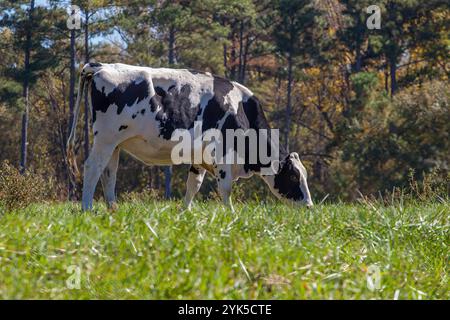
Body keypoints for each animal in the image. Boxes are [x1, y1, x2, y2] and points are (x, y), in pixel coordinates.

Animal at [67, 63, 312, 211]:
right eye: (293, 176)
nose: (309, 206)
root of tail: (101, 66)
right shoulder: (222, 155)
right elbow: (225, 189)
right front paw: (231, 214)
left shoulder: (199, 158)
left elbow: (193, 185)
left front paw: (185, 212)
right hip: (105, 139)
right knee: (93, 168)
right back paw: (87, 208)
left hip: (115, 144)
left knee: (109, 173)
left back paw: (113, 209)